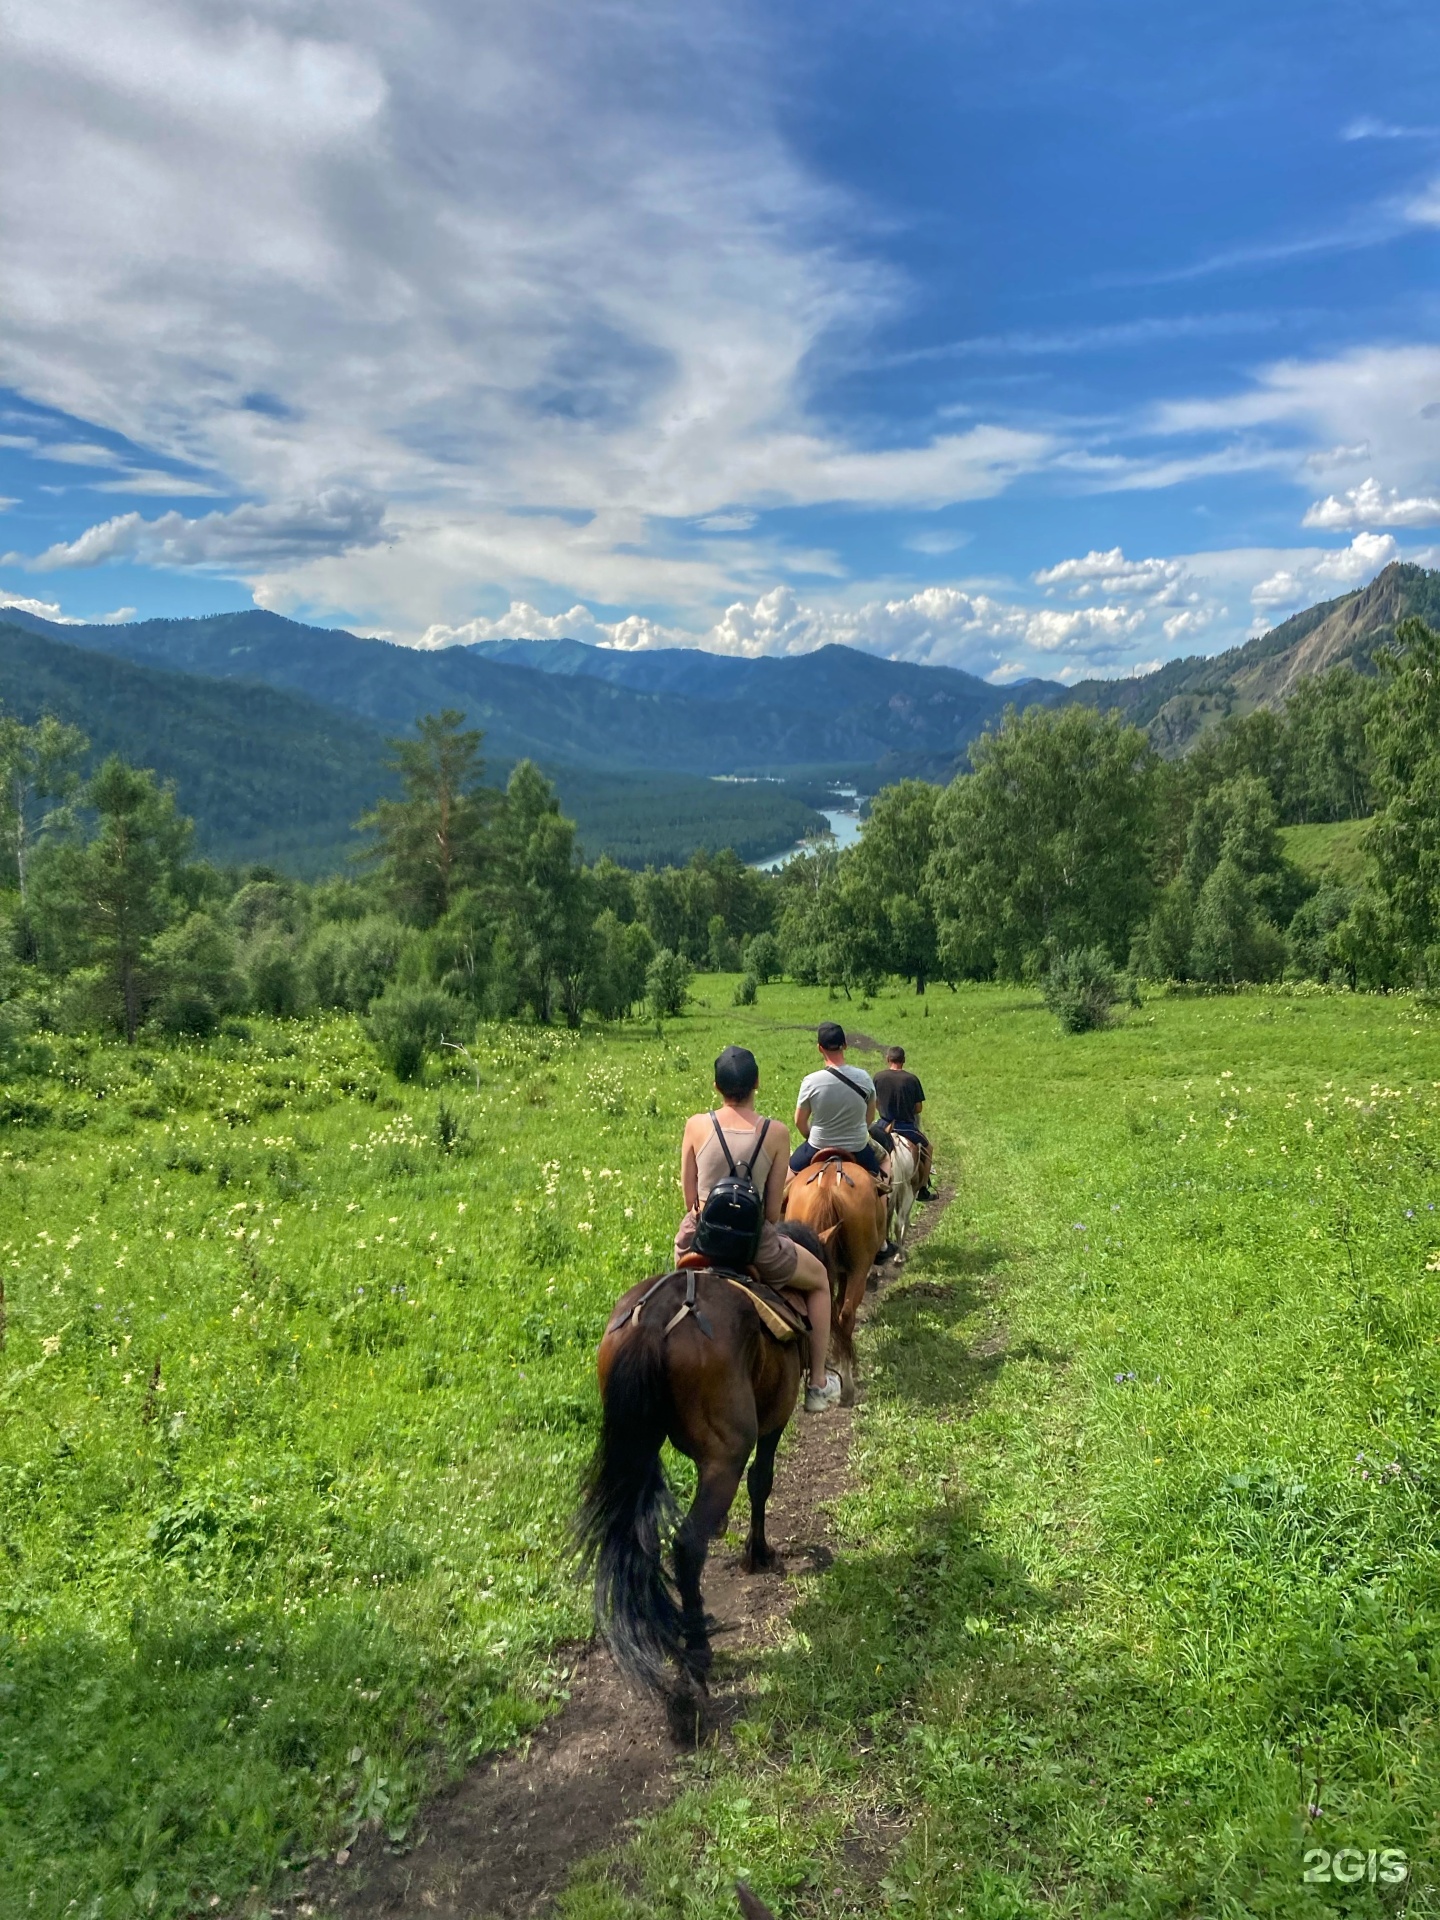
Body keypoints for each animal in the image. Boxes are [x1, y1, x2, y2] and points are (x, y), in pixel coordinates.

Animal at [579, 1221, 833, 1704]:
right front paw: (758, 1555)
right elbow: (761, 1481)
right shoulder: (774, 1420)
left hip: (641, 1449)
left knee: (644, 1539)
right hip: (727, 1453)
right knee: (687, 1543)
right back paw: (696, 1650)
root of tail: (657, 1315)